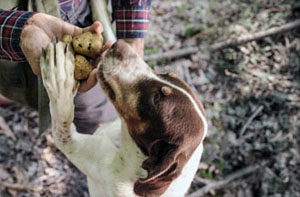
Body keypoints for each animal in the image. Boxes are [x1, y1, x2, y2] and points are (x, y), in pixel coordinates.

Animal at [41, 39, 207, 196]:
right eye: (166, 74)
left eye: (157, 98)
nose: (118, 44)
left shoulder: (77, 147)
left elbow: (62, 117)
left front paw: (59, 70)